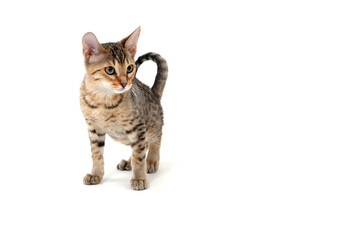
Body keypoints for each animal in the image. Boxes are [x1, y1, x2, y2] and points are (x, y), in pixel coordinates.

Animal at [79, 27, 168, 190]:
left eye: (130, 68)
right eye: (109, 70)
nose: (125, 83)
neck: (102, 99)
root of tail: (152, 92)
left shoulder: (137, 126)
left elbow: (138, 157)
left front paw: (139, 178)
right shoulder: (94, 129)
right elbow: (96, 154)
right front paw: (96, 174)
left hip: (147, 126)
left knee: (155, 138)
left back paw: (151, 160)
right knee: (142, 144)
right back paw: (129, 162)